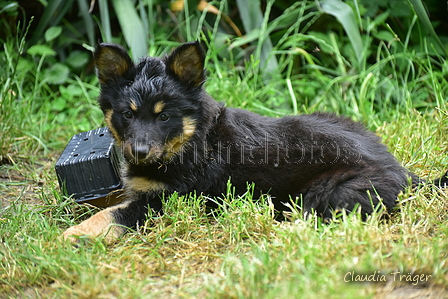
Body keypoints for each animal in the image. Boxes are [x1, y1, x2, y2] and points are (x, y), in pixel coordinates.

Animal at [62, 41, 444, 241]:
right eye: (126, 115)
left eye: (164, 116)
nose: (139, 152)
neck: (193, 139)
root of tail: (405, 173)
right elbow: (109, 201)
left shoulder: (162, 202)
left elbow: (111, 214)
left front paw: (68, 237)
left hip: (331, 192)